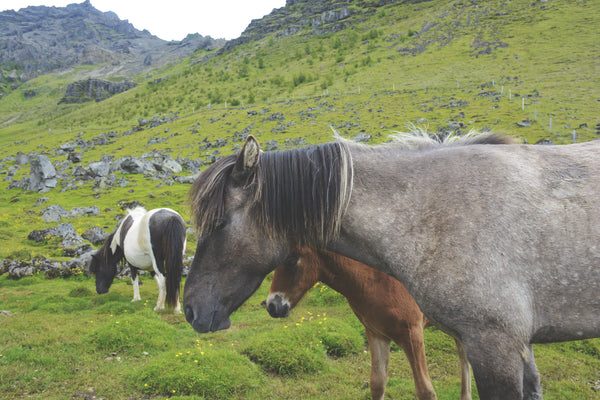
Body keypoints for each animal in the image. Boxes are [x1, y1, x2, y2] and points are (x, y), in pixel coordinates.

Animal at [264, 247, 472, 400]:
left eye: (292, 259)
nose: (271, 305)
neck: (376, 279)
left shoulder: (412, 334)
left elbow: (425, 390)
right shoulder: (376, 334)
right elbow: (377, 384)